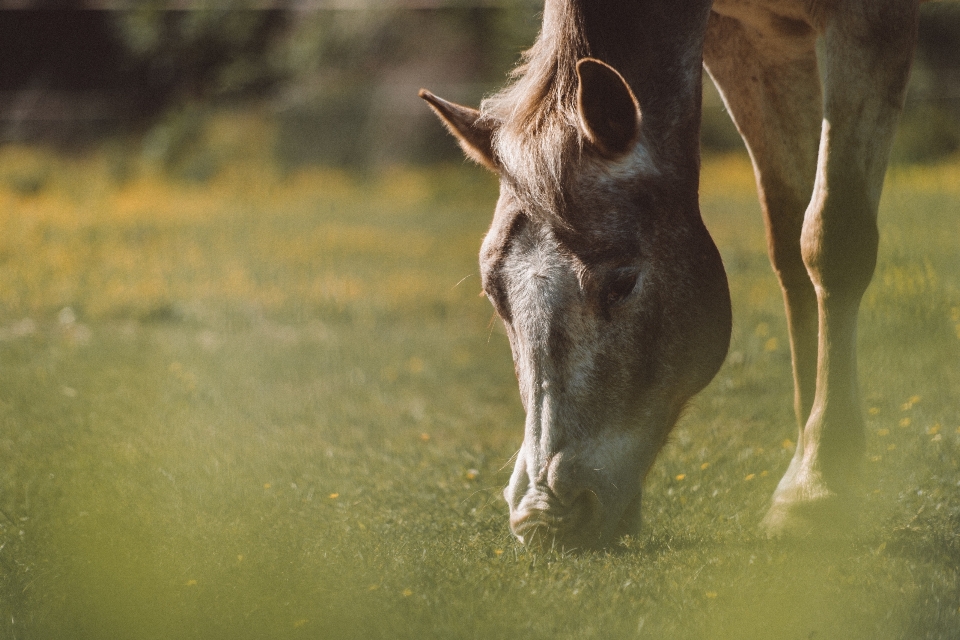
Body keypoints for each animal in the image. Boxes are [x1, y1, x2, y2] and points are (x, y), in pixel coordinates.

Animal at [420, 1, 924, 552]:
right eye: (495, 296)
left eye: (621, 283)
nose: (542, 518)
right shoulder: (750, 41)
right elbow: (792, 242)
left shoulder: (868, 23)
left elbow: (831, 240)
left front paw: (816, 486)